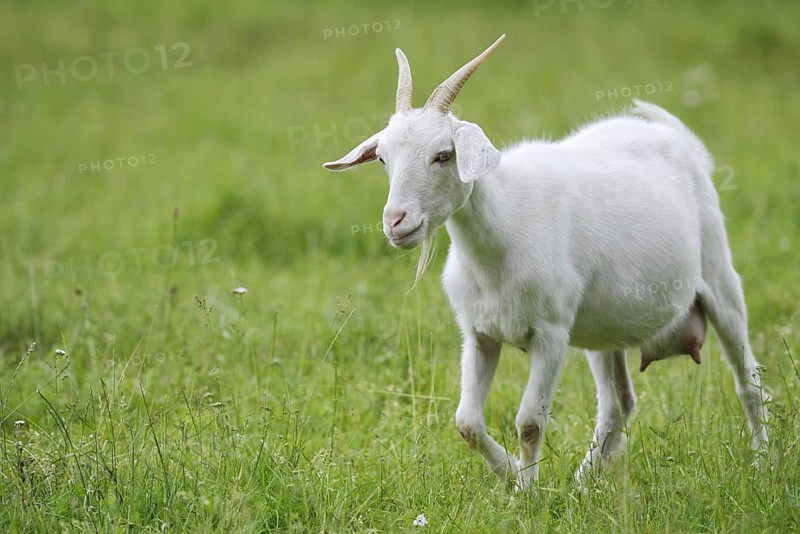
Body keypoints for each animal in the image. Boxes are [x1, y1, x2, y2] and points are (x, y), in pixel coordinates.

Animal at [323, 34, 768, 490]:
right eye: (382, 158)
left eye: (444, 155)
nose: (396, 221)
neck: (498, 244)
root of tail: (678, 139)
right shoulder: (479, 334)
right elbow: (467, 422)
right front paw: (511, 474)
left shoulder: (550, 336)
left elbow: (529, 422)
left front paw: (528, 489)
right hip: (602, 330)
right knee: (617, 404)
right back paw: (583, 484)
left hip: (719, 277)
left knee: (747, 382)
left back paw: (761, 463)